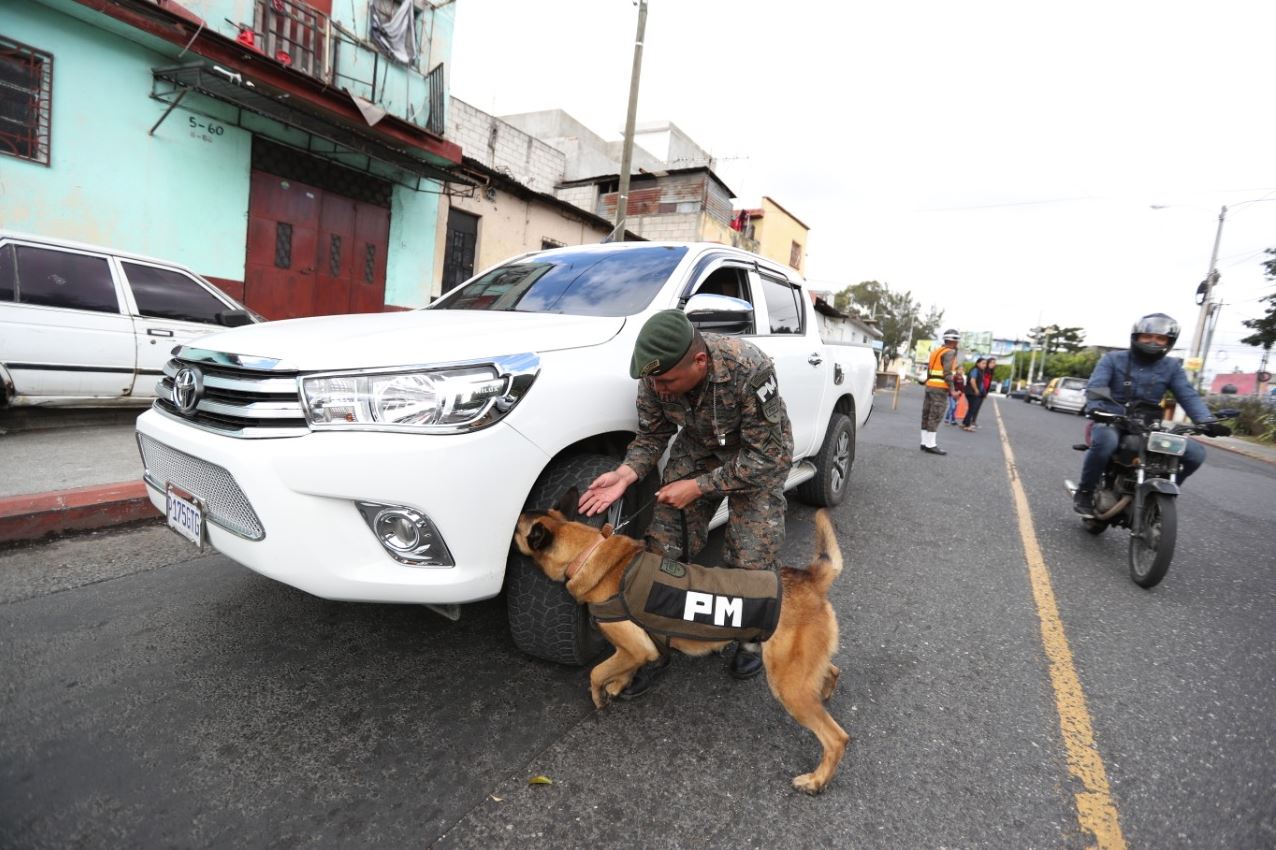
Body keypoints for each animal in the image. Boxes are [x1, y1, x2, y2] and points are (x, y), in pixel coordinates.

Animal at [507, 490, 847, 796]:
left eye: (516, 532)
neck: (587, 551)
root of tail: (807, 578)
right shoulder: (633, 650)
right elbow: (621, 667)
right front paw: (619, 684)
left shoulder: (635, 647)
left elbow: (596, 673)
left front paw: (600, 696)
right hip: (798, 667)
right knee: (832, 670)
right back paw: (825, 693)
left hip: (787, 685)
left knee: (836, 737)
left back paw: (816, 780)